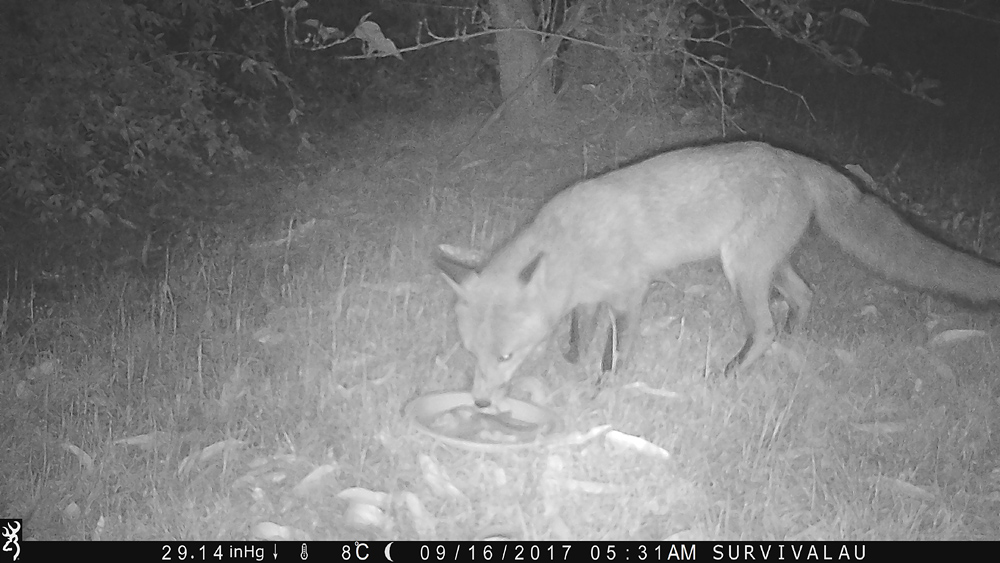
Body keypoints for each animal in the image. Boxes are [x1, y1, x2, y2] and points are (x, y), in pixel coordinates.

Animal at [436, 141, 1000, 408]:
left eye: (506, 356)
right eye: (474, 354)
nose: (480, 402)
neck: (571, 242)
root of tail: (795, 159)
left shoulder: (630, 292)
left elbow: (613, 354)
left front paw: (601, 388)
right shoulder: (587, 297)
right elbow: (579, 339)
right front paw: (573, 362)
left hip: (743, 268)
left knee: (765, 327)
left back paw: (729, 374)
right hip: (768, 264)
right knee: (805, 296)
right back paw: (792, 345)